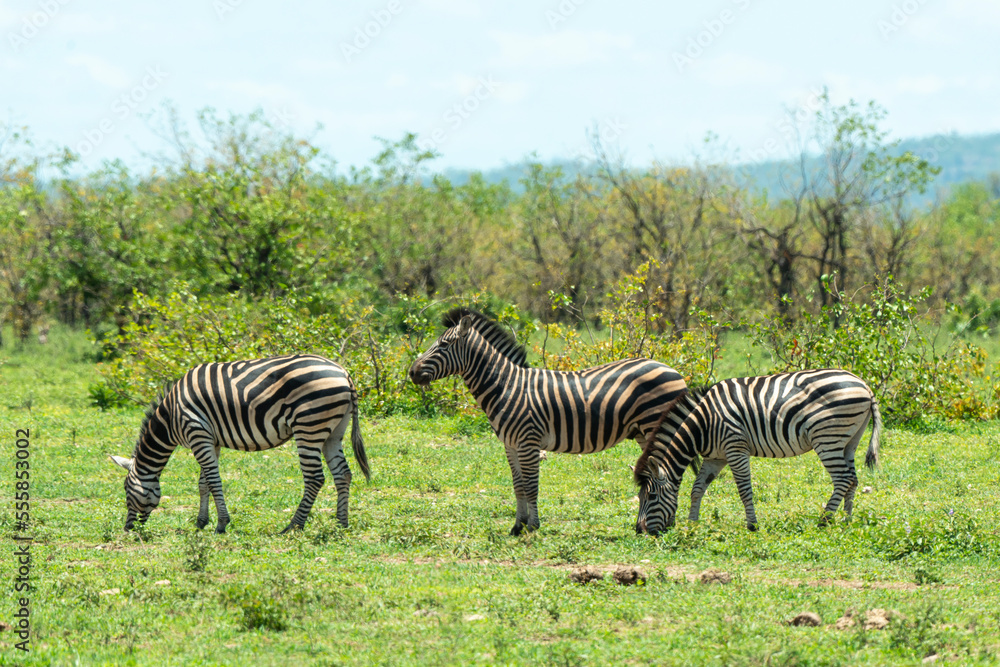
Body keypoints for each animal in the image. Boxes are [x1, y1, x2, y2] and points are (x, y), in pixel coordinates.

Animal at [109, 354, 370, 534]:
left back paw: (293, 526)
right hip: (333, 431)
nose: (128, 529)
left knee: (315, 478)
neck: (171, 417)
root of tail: (343, 372)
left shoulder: (197, 433)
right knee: (343, 474)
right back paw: (341, 523)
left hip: (309, 426)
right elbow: (203, 483)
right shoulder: (209, 440)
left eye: (126, 491)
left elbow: (214, 481)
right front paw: (201, 522)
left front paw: (221, 524)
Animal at [408, 307, 688, 535]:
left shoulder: (528, 441)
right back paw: (661, 522)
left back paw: (667, 523)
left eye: (444, 345)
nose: (411, 371)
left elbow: (531, 486)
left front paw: (533, 526)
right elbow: (518, 485)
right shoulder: (510, 444)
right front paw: (517, 526)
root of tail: (675, 371)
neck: (506, 386)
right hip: (643, 432)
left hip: (655, 424)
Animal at [634, 369, 882, 534]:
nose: (639, 530)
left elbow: (744, 490)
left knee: (842, 479)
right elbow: (697, 489)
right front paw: (692, 524)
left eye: (652, 496)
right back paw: (847, 520)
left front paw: (752, 525)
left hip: (827, 437)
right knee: (852, 479)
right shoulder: (715, 457)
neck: (703, 424)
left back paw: (824, 520)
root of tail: (864, 384)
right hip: (849, 440)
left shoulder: (735, 447)